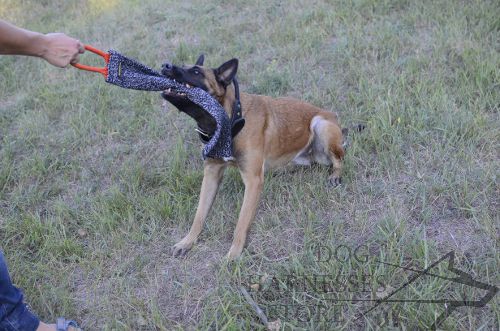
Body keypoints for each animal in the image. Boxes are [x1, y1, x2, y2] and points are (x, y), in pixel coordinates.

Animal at [162, 54, 350, 260]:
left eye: (196, 71)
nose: (164, 65)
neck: (229, 119)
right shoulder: (211, 173)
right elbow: (199, 215)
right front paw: (187, 241)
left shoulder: (252, 181)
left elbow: (241, 223)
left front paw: (233, 254)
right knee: (305, 162)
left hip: (321, 125)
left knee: (337, 160)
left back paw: (335, 175)